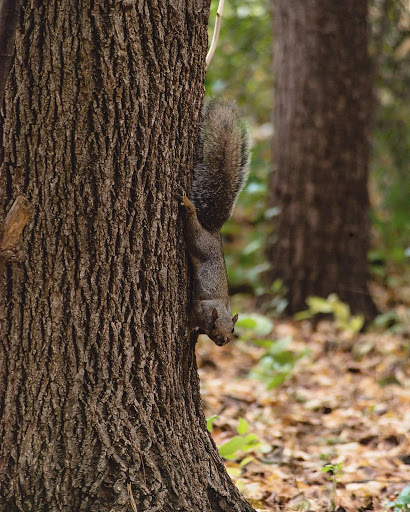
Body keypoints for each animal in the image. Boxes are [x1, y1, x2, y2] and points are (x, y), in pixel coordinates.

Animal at [179, 99, 250, 348]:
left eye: (234, 329)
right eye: (214, 325)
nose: (223, 341)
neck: (219, 309)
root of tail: (213, 231)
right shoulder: (199, 309)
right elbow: (191, 318)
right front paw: (188, 330)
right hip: (198, 239)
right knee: (191, 225)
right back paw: (188, 205)